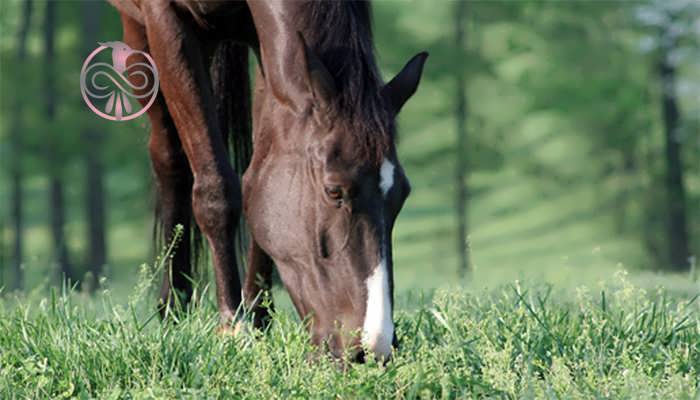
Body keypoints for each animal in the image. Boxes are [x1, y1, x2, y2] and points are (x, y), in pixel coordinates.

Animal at [109, 0, 426, 360]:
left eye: (402, 195)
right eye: (334, 191)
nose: (374, 347)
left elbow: (256, 181)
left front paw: (259, 317)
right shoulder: (166, 21)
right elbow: (216, 188)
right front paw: (233, 326)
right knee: (169, 156)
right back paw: (173, 305)